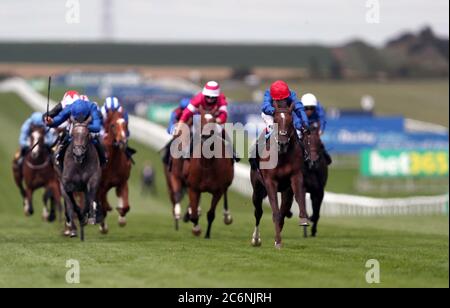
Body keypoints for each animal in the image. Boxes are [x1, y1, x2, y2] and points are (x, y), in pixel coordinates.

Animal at [250, 102, 310, 249]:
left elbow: (298, 197)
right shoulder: (270, 181)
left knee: (283, 211)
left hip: (285, 191)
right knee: (258, 212)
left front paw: (303, 218)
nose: (282, 143)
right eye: (275, 120)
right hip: (257, 189)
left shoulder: (295, 176)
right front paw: (277, 241)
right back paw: (256, 239)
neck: (282, 156)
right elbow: (275, 212)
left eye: (291, 121)